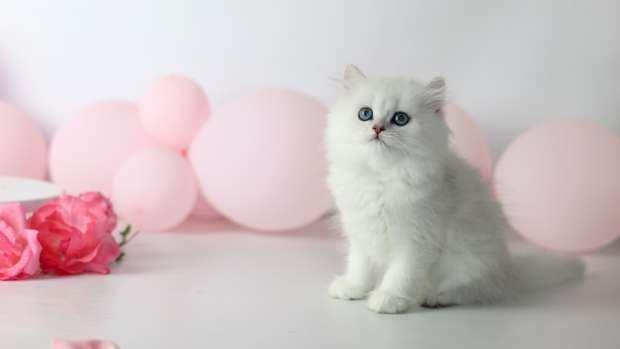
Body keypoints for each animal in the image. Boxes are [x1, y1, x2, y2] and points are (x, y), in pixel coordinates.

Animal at [326, 64, 584, 312]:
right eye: (365, 114)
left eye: (400, 119)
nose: (378, 128)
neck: (380, 177)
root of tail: (507, 270)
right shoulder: (361, 233)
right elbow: (360, 265)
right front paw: (354, 288)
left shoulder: (416, 239)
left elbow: (401, 274)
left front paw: (389, 298)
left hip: (471, 260)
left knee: (472, 290)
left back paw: (434, 297)